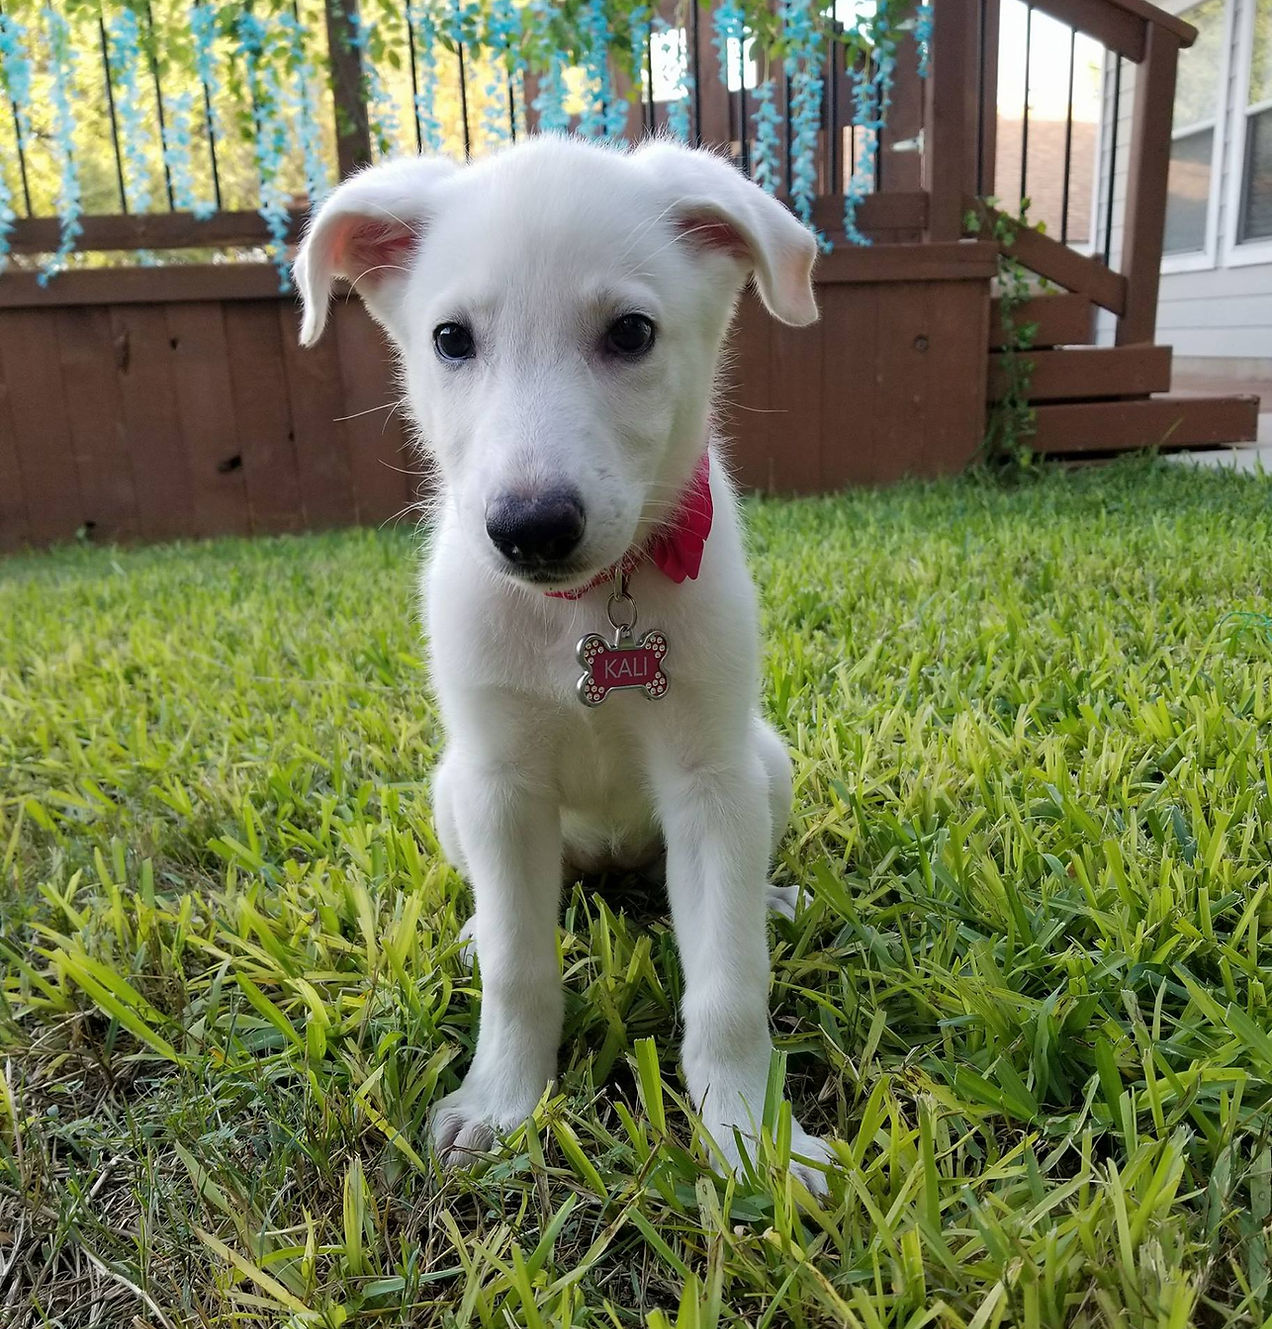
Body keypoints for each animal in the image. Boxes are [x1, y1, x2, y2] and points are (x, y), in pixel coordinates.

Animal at [296, 137, 834, 1196]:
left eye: (631, 333)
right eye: (451, 339)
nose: (532, 528)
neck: (586, 609)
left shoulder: (711, 780)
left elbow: (729, 985)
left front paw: (753, 1140)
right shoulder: (501, 781)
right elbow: (520, 967)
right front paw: (502, 1102)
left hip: (766, 764)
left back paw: (771, 897)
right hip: (452, 790)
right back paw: (473, 928)